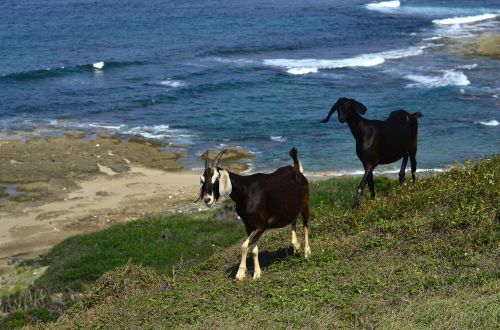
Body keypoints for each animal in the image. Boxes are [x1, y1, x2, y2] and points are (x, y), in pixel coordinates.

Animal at [196, 148, 308, 280]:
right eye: (202, 180)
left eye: (217, 178)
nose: (207, 199)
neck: (246, 192)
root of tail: (296, 170)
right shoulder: (249, 225)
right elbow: (254, 250)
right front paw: (257, 273)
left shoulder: (261, 225)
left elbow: (244, 246)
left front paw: (240, 274)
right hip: (291, 207)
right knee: (293, 220)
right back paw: (296, 246)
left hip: (305, 204)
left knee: (305, 226)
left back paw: (307, 252)